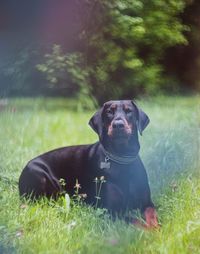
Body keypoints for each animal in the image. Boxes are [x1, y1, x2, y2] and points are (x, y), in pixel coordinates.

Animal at [19, 99, 159, 228]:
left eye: (129, 111)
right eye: (109, 112)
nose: (118, 125)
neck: (122, 159)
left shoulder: (147, 202)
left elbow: (152, 214)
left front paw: (156, 229)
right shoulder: (109, 211)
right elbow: (135, 221)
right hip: (41, 176)